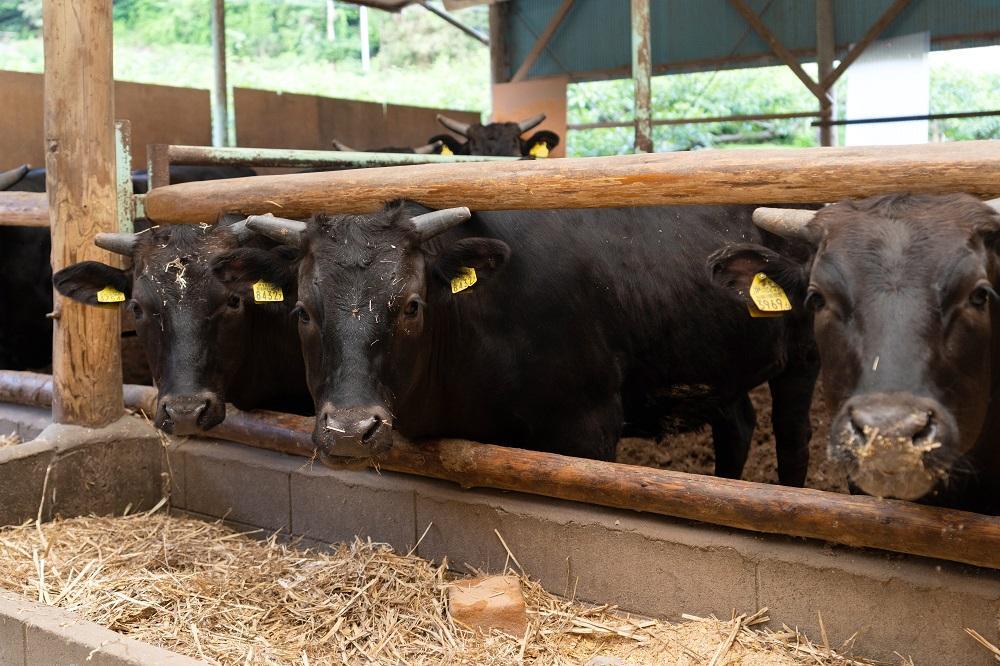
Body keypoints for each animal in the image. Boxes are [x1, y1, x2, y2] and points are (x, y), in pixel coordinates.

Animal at [221, 200, 820, 486]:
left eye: (412, 305)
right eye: (302, 310)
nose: (349, 431)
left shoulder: (589, 427)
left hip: (802, 362)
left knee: (792, 438)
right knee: (737, 424)